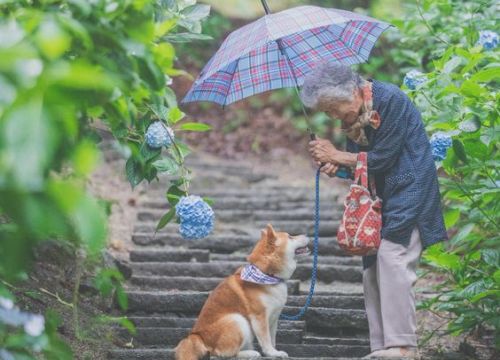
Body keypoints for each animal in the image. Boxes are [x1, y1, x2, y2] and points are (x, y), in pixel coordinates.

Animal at [175, 224, 308, 358]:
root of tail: (198, 336)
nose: (307, 234)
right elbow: (266, 340)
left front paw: (274, 351)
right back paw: (251, 353)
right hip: (237, 320)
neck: (266, 274)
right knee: (222, 353)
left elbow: (272, 338)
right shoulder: (259, 317)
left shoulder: (274, 317)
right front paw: (272, 353)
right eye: (290, 237)